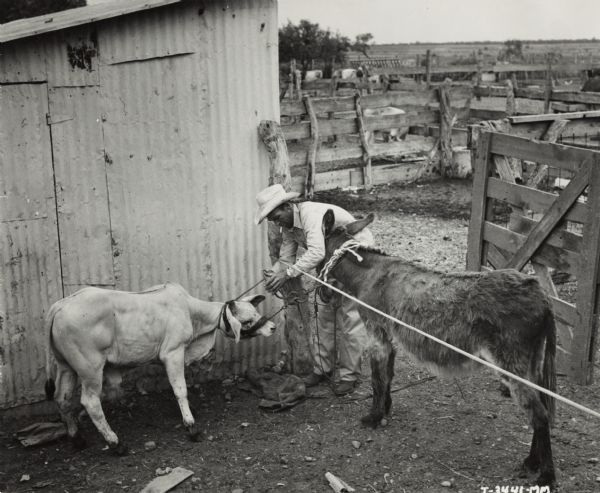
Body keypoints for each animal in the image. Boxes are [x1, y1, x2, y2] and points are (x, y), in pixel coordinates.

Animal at [45, 280, 276, 454]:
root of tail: (60, 306)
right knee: (90, 402)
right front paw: (191, 425)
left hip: (66, 366)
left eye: (256, 313)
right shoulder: (173, 352)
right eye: (247, 321)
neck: (192, 314)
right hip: (90, 368)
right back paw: (115, 443)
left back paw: (77, 438)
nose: (272, 327)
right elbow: (180, 389)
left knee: (62, 398)